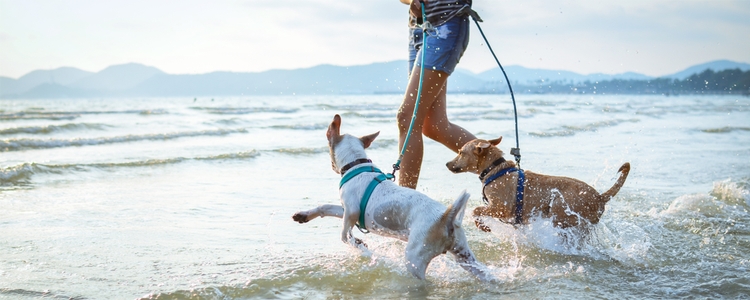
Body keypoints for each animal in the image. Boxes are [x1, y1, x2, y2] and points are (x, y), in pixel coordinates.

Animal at [294, 115, 494, 282]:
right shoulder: (345, 210)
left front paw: (359, 245)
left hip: (415, 259)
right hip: (464, 256)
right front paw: (304, 215)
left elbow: (344, 235)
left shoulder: (351, 212)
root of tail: (447, 218)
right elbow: (326, 207)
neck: (357, 165)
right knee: (484, 273)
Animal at [450, 137, 632, 230]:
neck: (494, 169)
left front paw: (482, 225)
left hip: (560, 208)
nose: (447, 164)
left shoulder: (501, 208)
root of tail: (600, 197)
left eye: (460, 152)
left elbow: (476, 210)